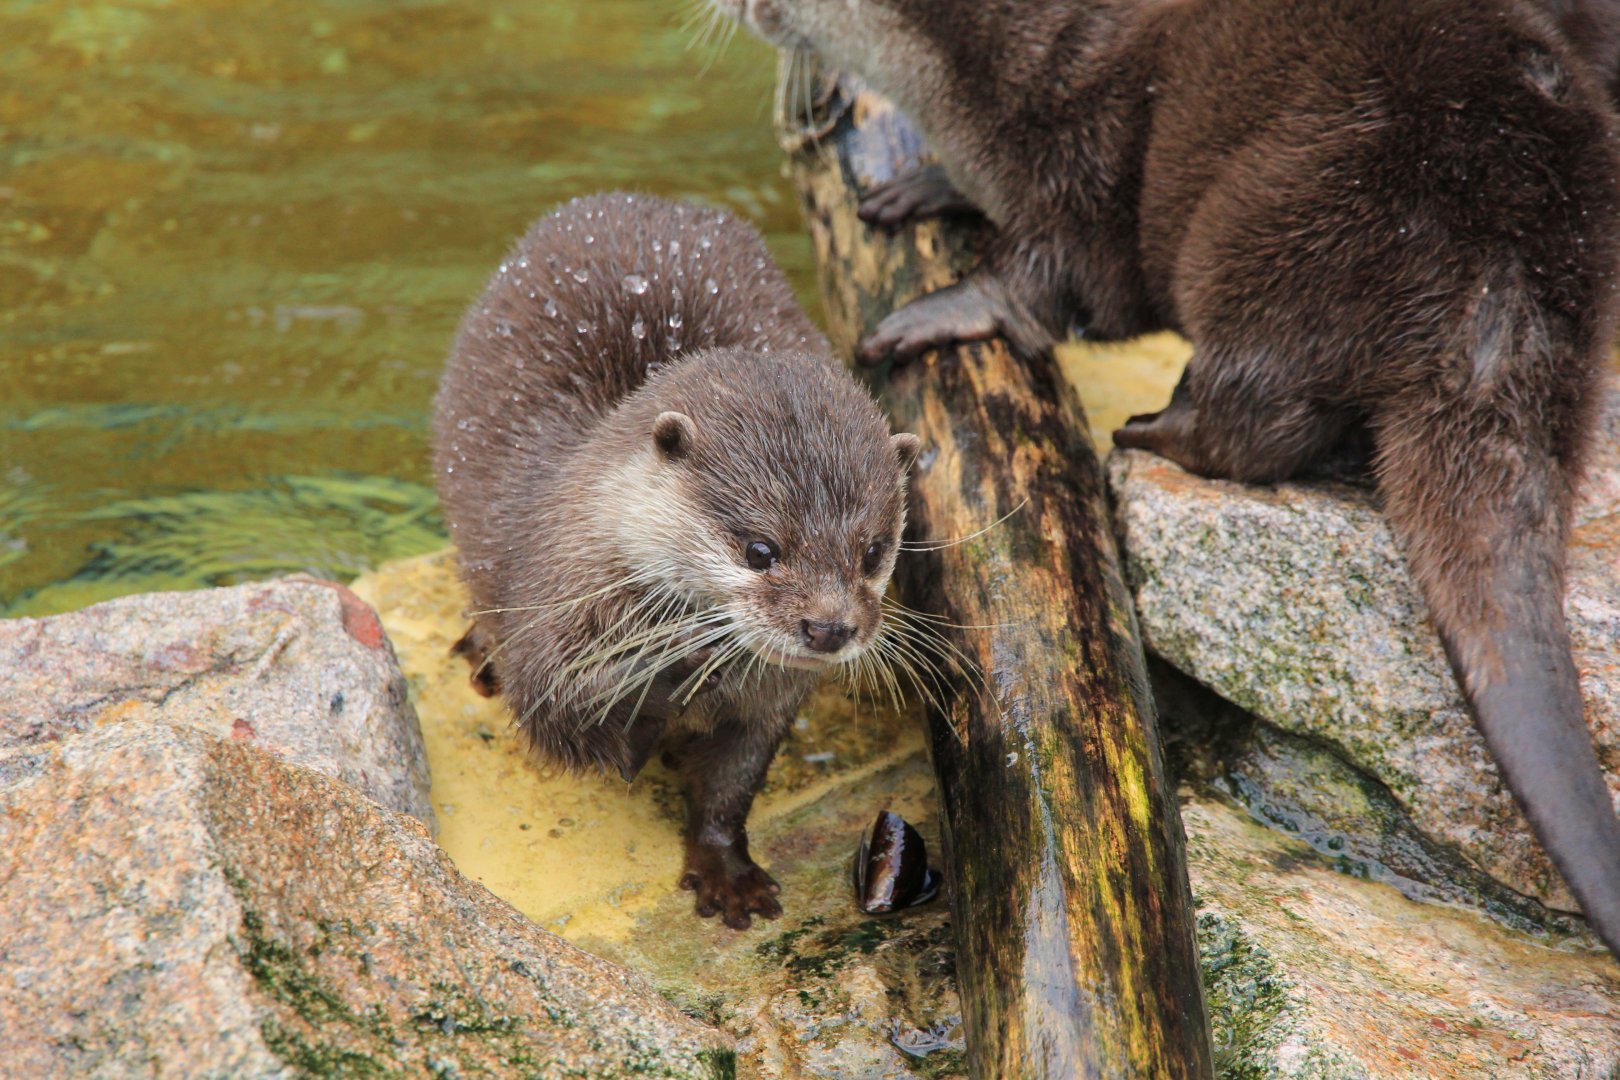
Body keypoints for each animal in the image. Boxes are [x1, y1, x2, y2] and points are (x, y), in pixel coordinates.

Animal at [434, 193, 920, 929]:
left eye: (872, 551)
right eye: (760, 549)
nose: (829, 627)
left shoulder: (770, 700)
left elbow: (732, 784)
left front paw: (727, 870)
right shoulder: (548, 630)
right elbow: (565, 720)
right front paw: (671, 669)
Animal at [717, 0, 1620, 955]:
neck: (1003, 50)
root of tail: (1508, 266)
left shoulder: (1080, 143)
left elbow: (1058, 280)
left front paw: (944, 308)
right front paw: (928, 185)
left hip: (1282, 220)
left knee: (1260, 413)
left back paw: (1149, 431)